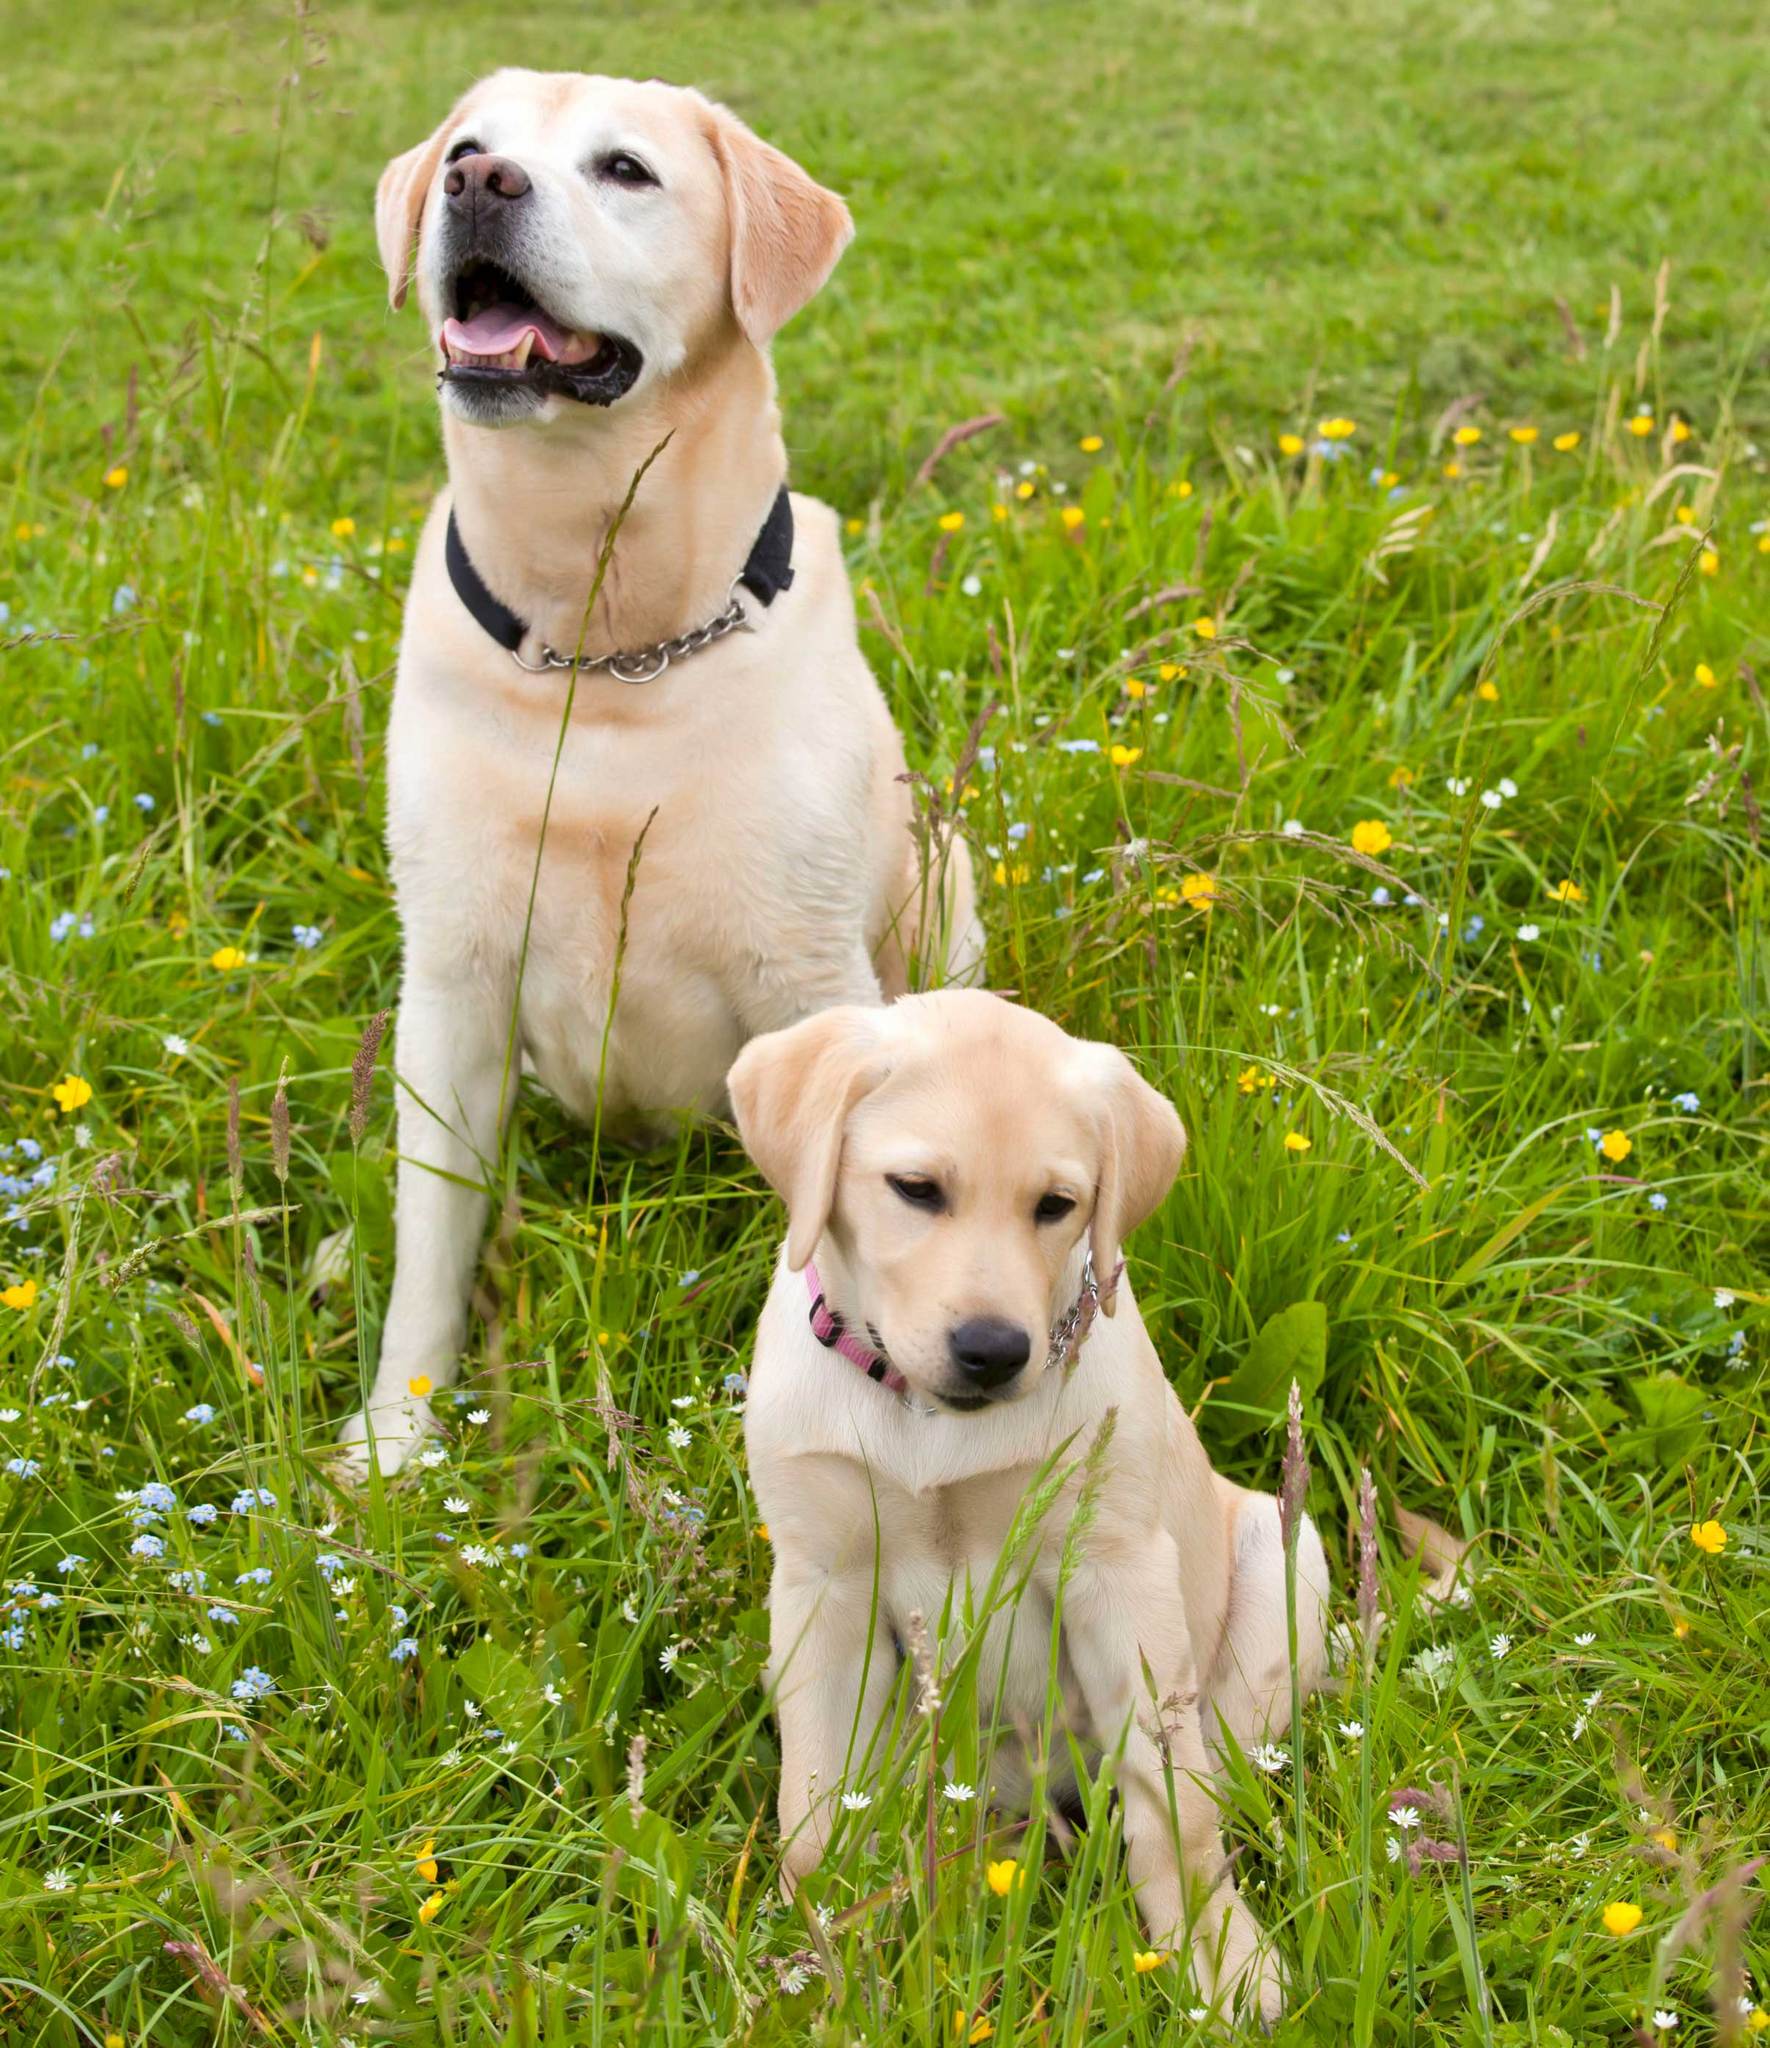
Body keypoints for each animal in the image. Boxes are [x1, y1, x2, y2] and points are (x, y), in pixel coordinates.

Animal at [346, 68, 983, 1474]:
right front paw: (394, 1445)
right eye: (471, 148)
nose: (478, 185)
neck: (607, 642)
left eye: (624, 170)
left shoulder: (807, 974)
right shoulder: (453, 983)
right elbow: (429, 1242)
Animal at [729, 991, 1327, 2015]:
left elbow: (1173, 1808)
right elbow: (812, 1806)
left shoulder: (1117, 1571)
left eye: (1056, 1205)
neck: (925, 1419)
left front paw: (1218, 1955)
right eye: (916, 1189)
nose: (993, 1350)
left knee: (1216, 1767)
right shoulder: (825, 1588)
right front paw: (823, 1955)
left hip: (1288, 1559)